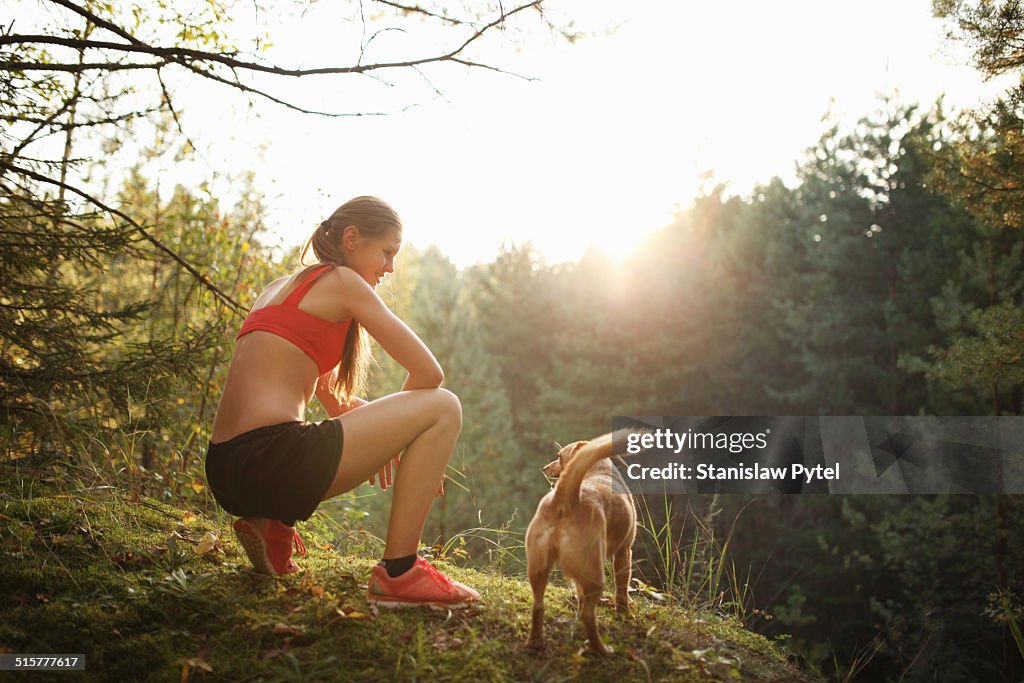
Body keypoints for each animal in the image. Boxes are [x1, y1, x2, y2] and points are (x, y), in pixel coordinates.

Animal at [524, 432, 634, 655]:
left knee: (538, 606)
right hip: (595, 575)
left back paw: (535, 642)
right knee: (588, 616)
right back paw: (600, 649)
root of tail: (566, 497)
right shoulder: (624, 552)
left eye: (559, 456)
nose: (544, 468)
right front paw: (624, 614)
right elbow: (622, 590)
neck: (599, 470)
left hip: (538, 568)